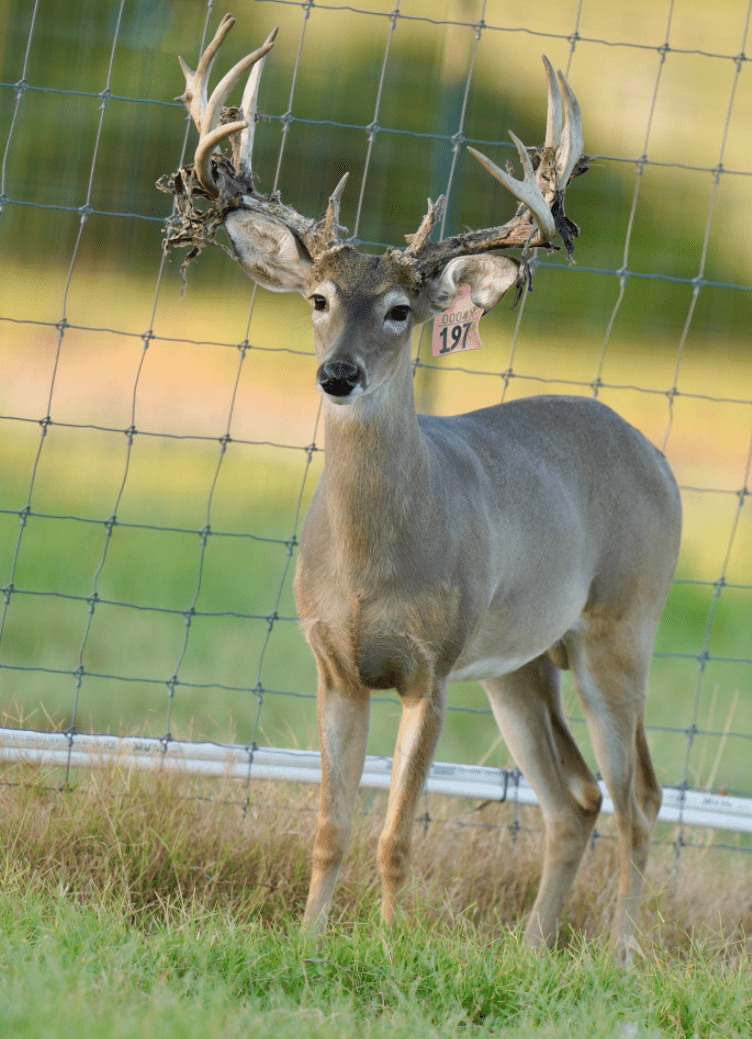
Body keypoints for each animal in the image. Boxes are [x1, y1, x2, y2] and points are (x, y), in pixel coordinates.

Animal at [161, 15, 682, 959]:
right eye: (318, 298)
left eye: (401, 309)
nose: (337, 375)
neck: (371, 565)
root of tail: (655, 455)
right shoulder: (332, 666)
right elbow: (331, 826)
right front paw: (310, 942)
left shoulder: (430, 669)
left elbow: (397, 832)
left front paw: (392, 946)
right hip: (522, 661)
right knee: (576, 797)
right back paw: (533, 948)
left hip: (621, 625)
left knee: (639, 798)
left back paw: (621, 957)